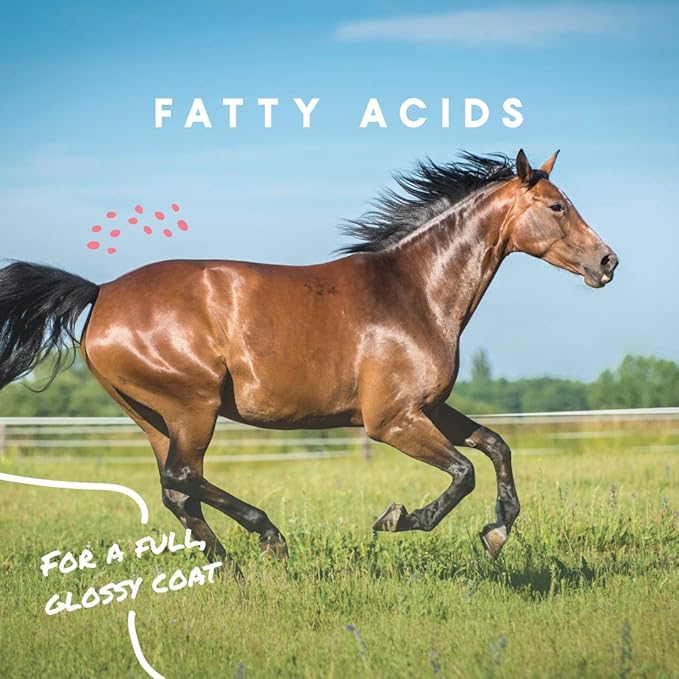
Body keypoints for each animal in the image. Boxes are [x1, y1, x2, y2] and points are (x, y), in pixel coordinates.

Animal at [0, 149, 618, 572]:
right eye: (557, 206)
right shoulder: (391, 421)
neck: (415, 293)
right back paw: (268, 537)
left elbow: (495, 446)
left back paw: (229, 567)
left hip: (153, 416)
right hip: (191, 407)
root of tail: (101, 292)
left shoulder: (427, 408)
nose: (608, 261)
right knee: (182, 478)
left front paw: (496, 531)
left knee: (177, 489)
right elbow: (463, 472)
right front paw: (399, 519)